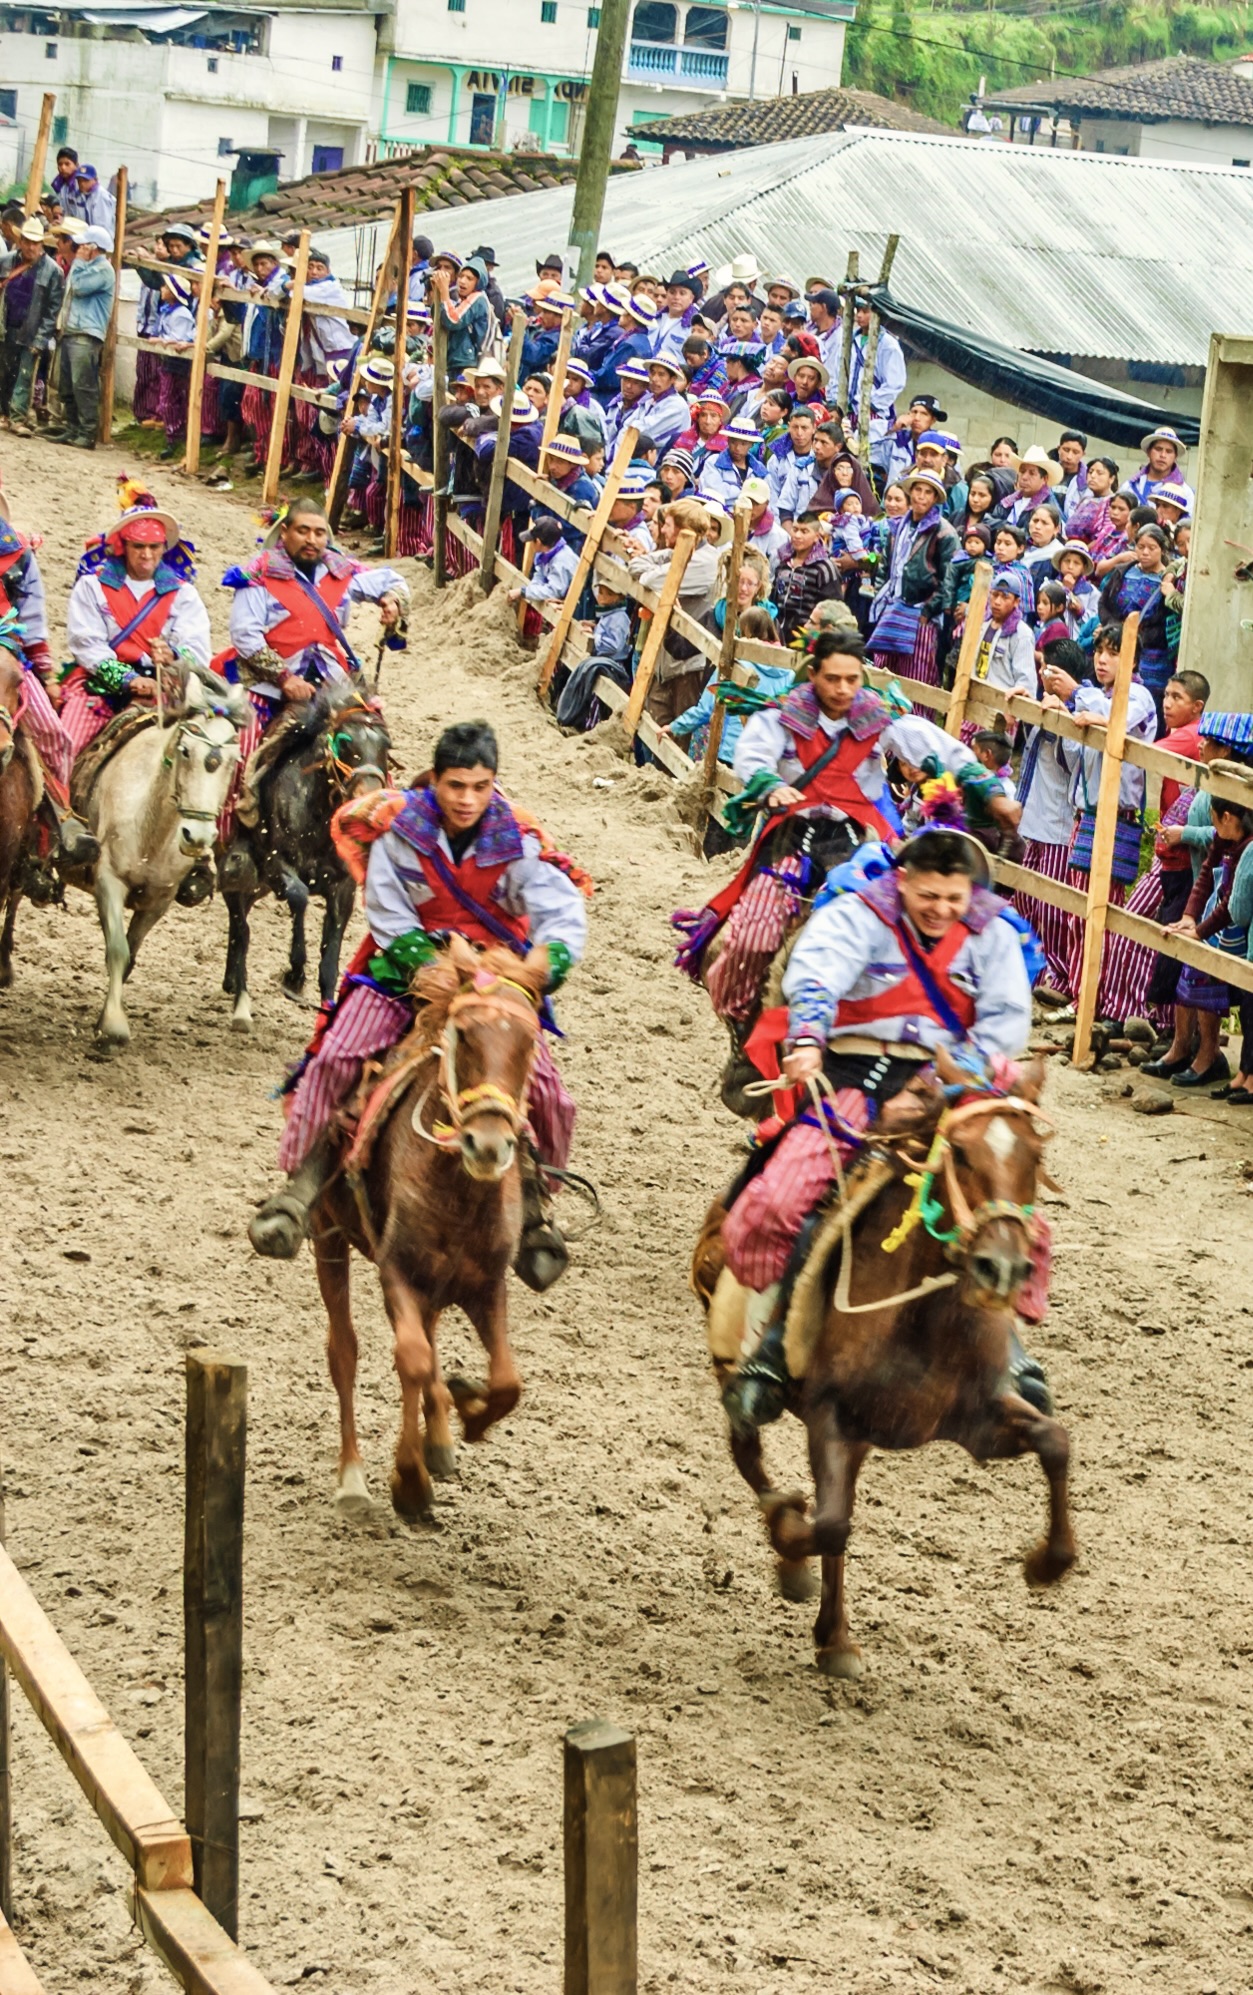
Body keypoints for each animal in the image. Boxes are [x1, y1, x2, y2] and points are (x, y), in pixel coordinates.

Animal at [84, 666, 249, 1045]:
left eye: (233, 762)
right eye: (185, 750)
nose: (197, 836)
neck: (150, 831)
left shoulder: (159, 900)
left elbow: (129, 956)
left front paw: (104, 1020)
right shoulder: (107, 880)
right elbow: (117, 949)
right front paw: (113, 1027)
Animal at [222, 682, 391, 1029]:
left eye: (386, 745)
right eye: (345, 742)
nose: (368, 799)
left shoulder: (343, 889)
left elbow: (330, 961)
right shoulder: (275, 865)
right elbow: (299, 897)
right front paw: (294, 975)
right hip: (242, 876)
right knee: (242, 929)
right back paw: (241, 1003)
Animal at [311, 941, 546, 1516]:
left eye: (528, 1042)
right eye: (463, 1035)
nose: (488, 1146)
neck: (458, 1195)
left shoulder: (487, 1285)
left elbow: (507, 1382)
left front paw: (467, 1410)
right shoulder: (397, 1272)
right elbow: (411, 1361)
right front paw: (409, 1481)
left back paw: (439, 1435)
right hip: (329, 1236)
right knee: (345, 1352)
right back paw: (354, 1478)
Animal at [690, 1053, 1069, 1675]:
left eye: (1034, 1157)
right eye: (959, 1151)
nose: (1003, 1268)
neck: (922, 1322)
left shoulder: (978, 1424)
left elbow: (1055, 1441)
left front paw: (1047, 1563)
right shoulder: (829, 1419)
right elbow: (827, 1523)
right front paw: (789, 1539)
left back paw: (835, 1636)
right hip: (735, 1368)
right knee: (751, 1452)